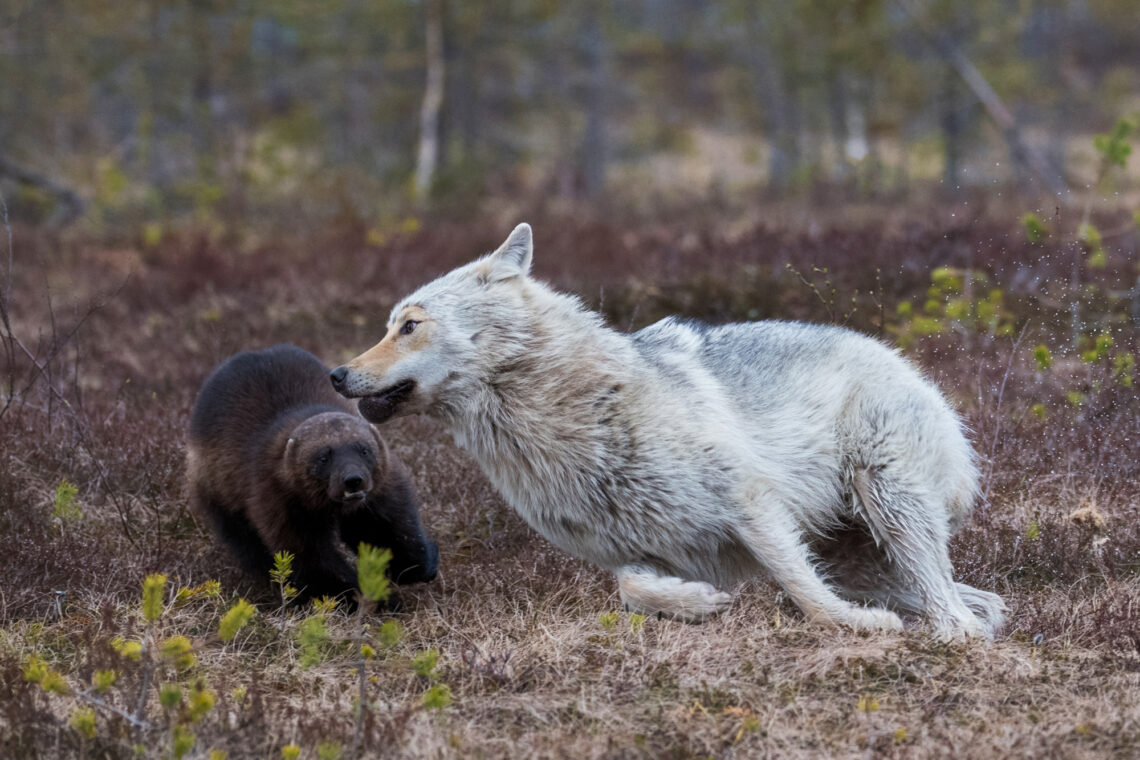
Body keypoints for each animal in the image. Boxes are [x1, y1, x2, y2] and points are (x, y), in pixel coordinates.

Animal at [332, 223, 1007, 638]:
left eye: (409, 326)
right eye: (389, 325)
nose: (337, 374)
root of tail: (905, 362)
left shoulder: (751, 505)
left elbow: (801, 589)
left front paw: (856, 628)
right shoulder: (641, 550)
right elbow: (633, 590)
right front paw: (699, 605)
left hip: (887, 503)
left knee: (947, 603)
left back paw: (952, 633)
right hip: (857, 553)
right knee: (965, 596)